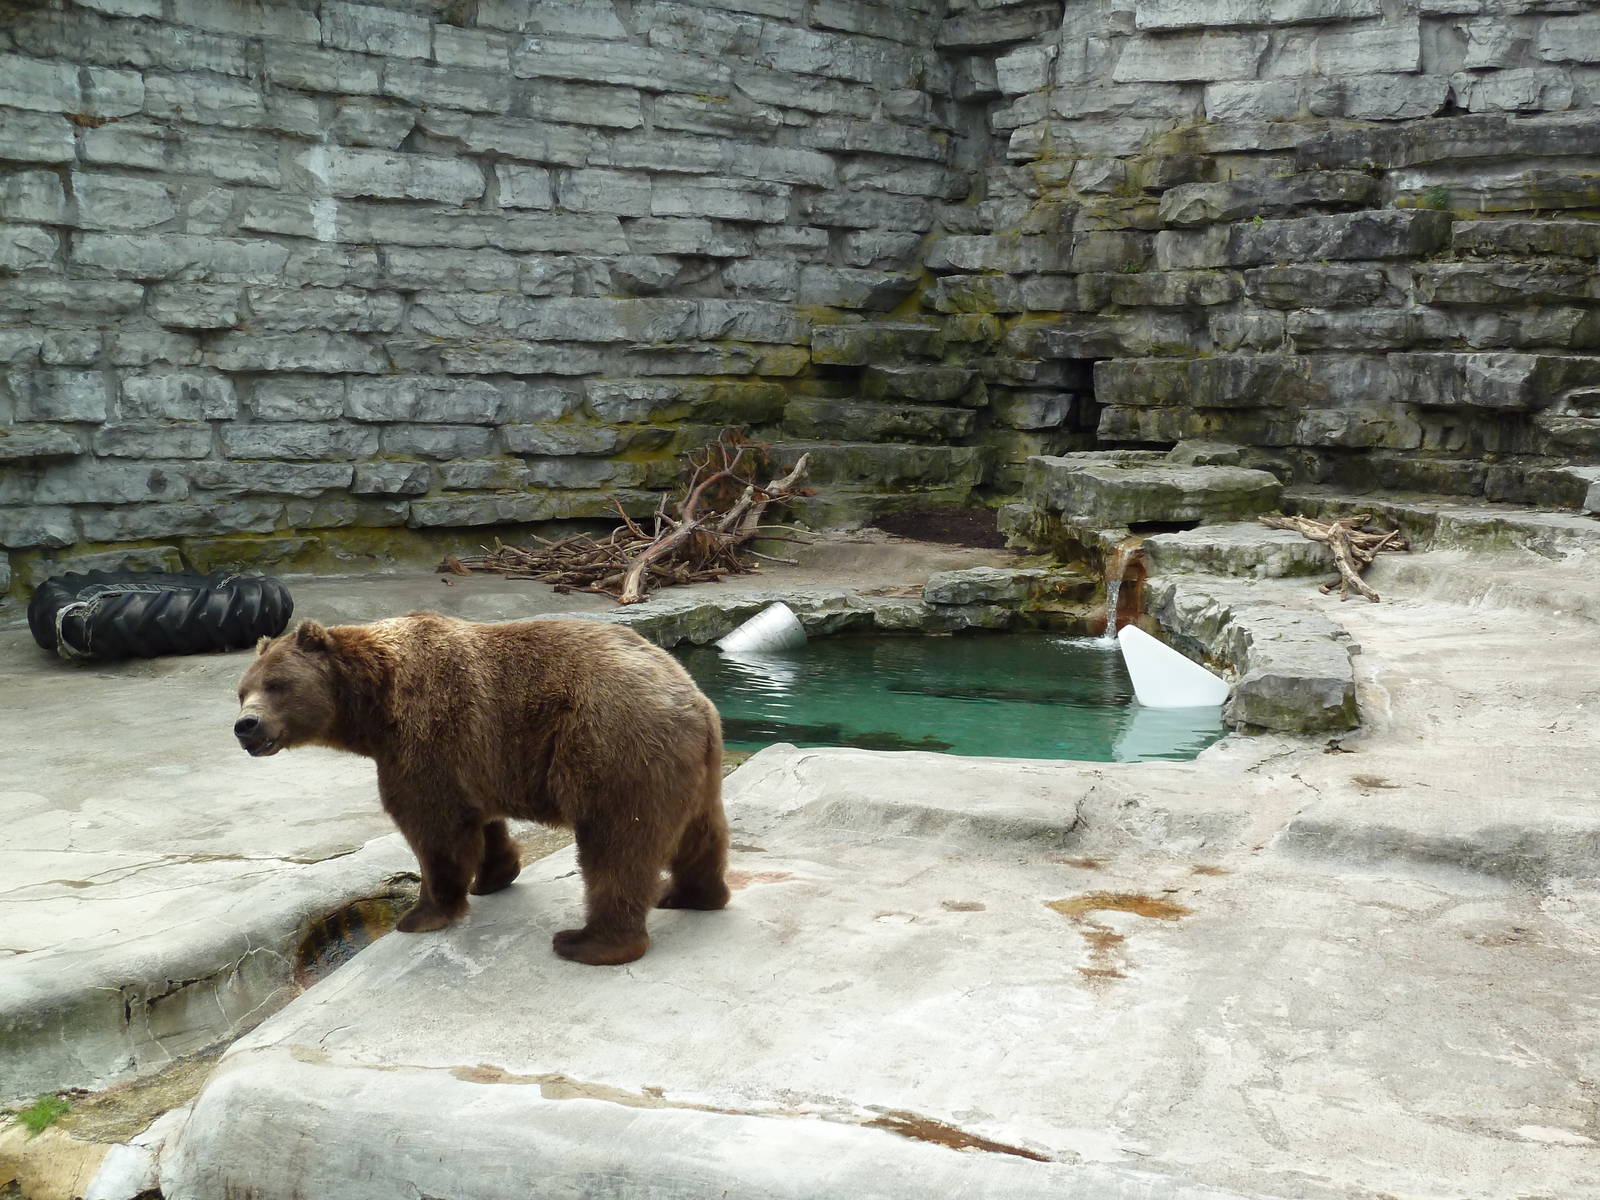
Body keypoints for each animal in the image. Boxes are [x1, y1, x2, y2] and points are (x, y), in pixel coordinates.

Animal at [233, 611, 729, 965]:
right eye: (241, 691)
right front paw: (492, 877)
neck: (374, 705)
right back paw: (692, 895)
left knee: (616, 846)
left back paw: (587, 943)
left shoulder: (423, 736)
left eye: (277, 684)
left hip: (614, 747)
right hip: (688, 768)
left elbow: (432, 828)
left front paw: (421, 914)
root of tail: (694, 700)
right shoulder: (477, 758)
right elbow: (480, 820)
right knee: (701, 834)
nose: (245, 726)